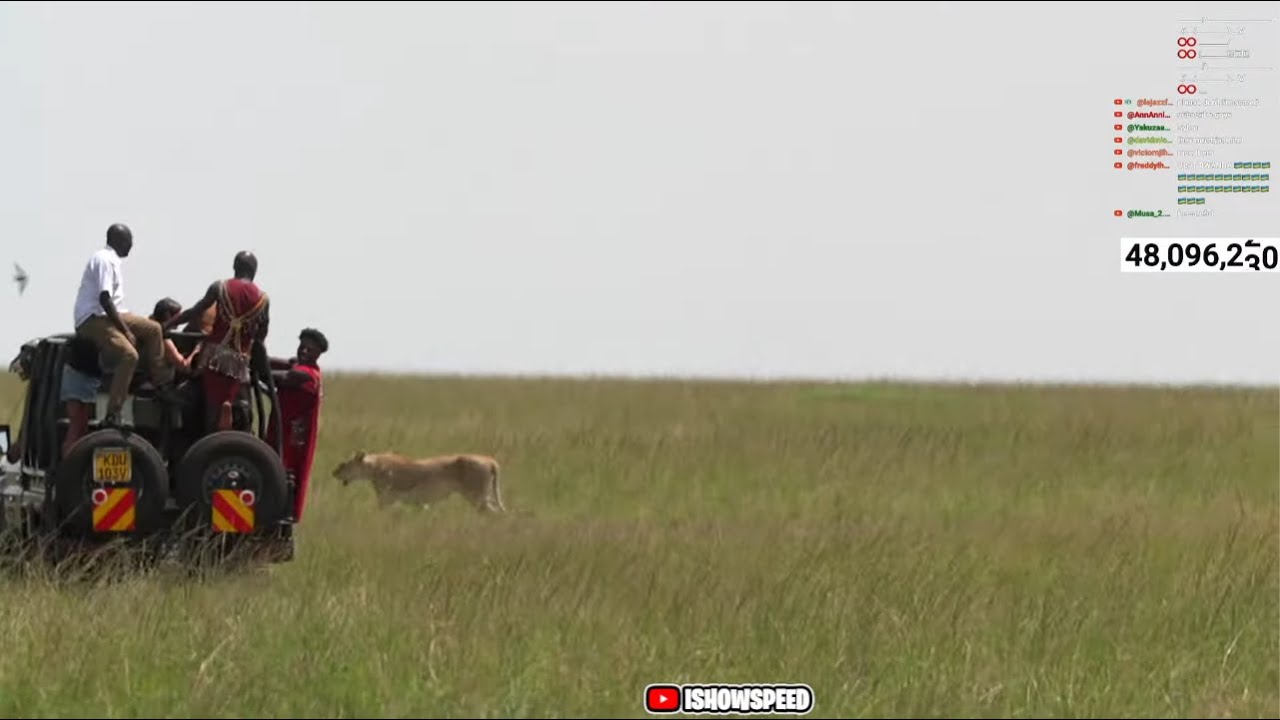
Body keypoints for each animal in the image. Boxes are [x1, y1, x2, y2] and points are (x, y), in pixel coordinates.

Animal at [332, 450, 506, 514]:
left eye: (344, 464)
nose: (334, 473)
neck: (374, 466)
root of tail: (490, 460)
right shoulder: (420, 503)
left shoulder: (387, 501)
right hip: (484, 497)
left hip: (477, 498)